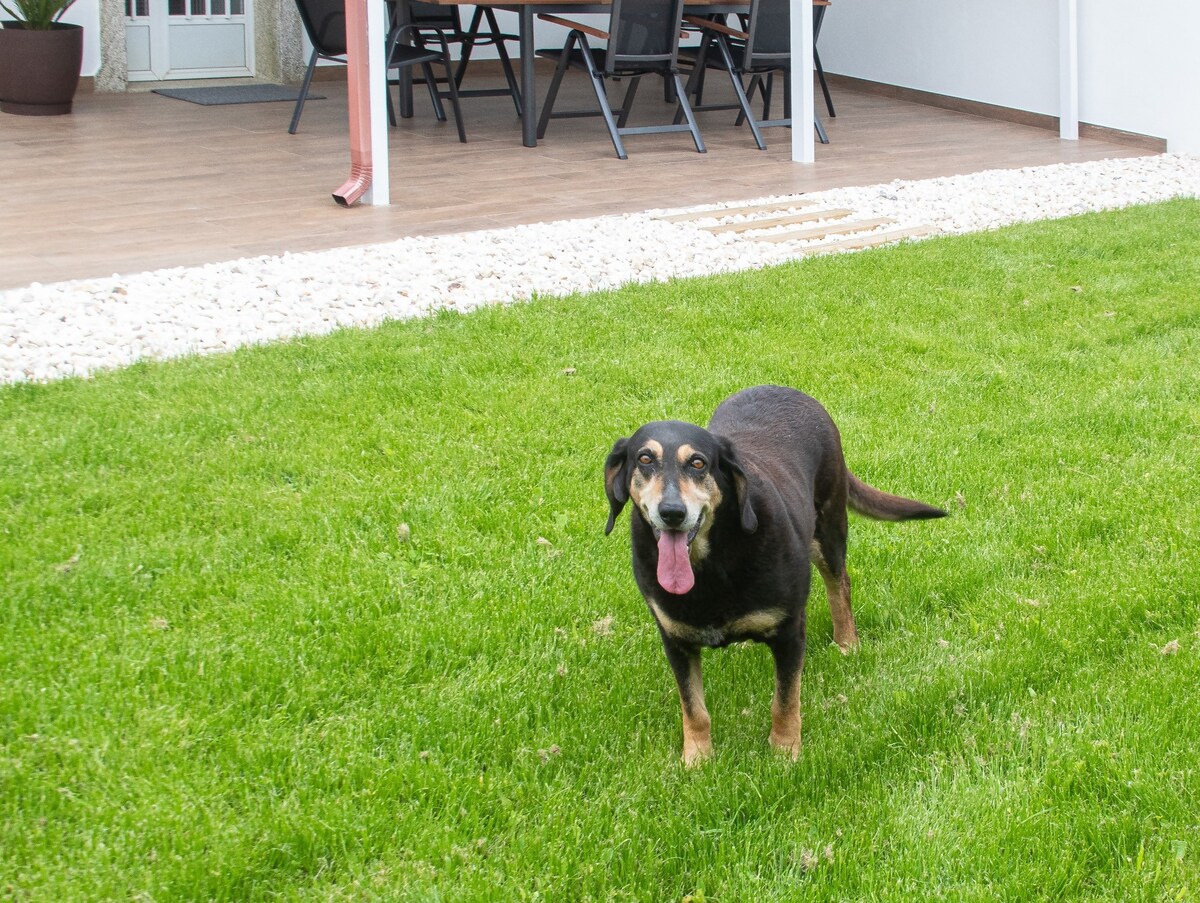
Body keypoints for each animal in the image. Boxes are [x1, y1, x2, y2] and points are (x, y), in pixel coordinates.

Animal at [604, 384, 940, 763]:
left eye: (698, 463)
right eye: (644, 459)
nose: (672, 512)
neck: (713, 563)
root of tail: (787, 390)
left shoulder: (790, 632)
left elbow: (785, 700)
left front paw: (784, 752)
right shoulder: (676, 641)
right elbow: (693, 708)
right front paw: (697, 759)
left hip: (828, 529)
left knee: (840, 585)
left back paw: (847, 642)